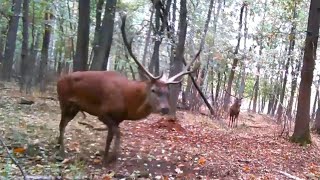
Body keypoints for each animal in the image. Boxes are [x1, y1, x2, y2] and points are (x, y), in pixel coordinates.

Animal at [55, 15, 200, 166]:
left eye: (168, 92)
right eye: (153, 90)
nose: (165, 108)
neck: (128, 104)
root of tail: (59, 79)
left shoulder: (118, 118)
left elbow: (110, 136)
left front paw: (106, 157)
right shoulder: (103, 112)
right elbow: (118, 133)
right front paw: (111, 157)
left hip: (75, 107)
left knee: (64, 123)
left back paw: (58, 146)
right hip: (63, 100)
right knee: (62, 124)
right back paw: (61, 152)